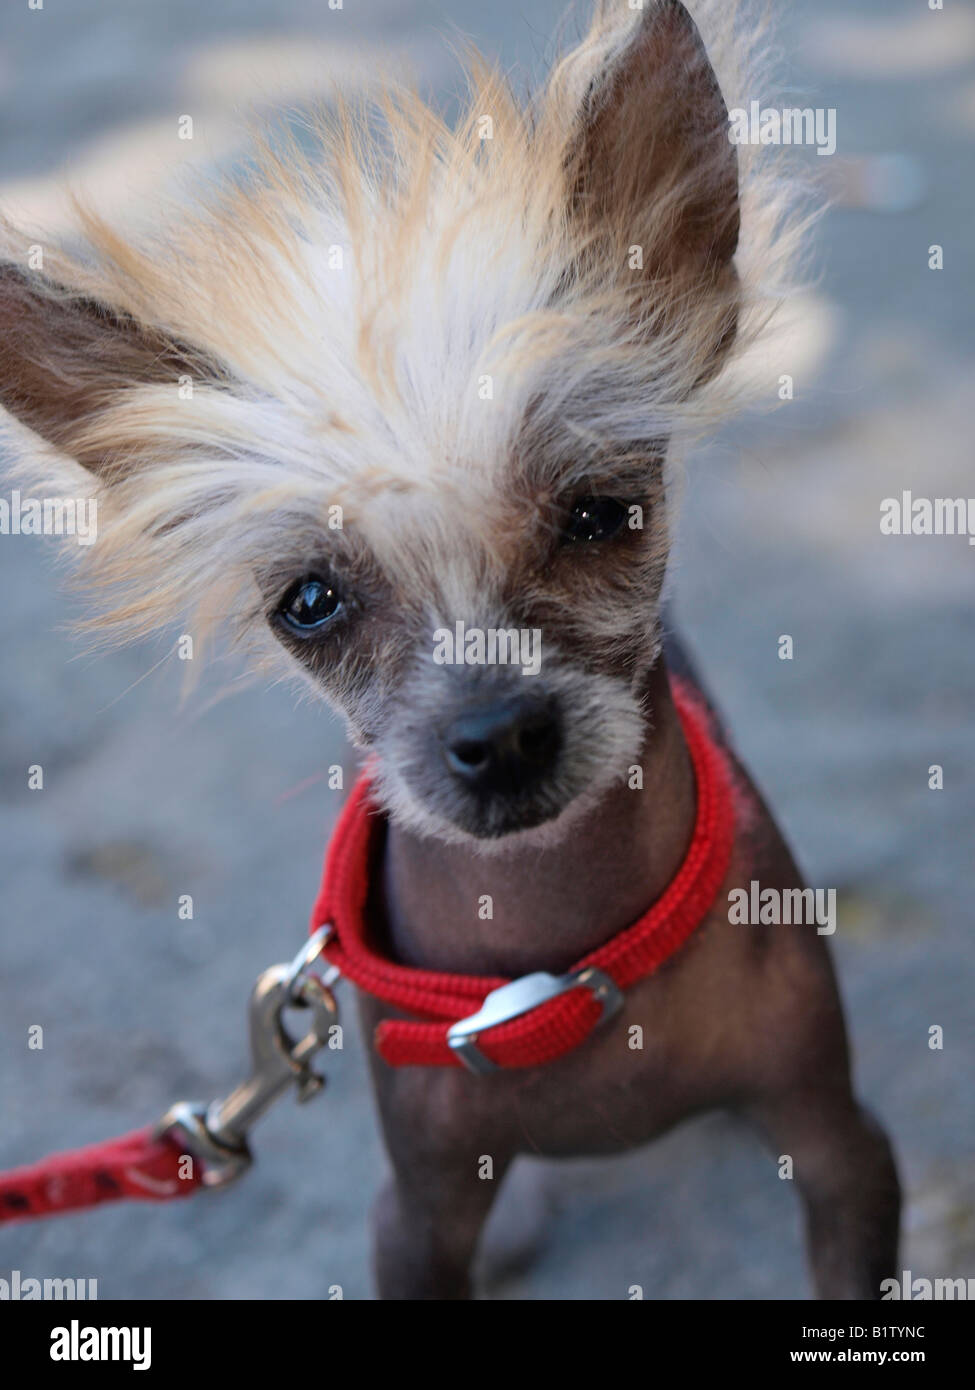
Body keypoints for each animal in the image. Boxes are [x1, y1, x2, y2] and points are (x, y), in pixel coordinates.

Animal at [0, 2, 895, 1301]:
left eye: (601, 514)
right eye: (309, 602)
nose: (500, 735)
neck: (552, 971)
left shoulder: (840, 1150)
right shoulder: (414, 1215)